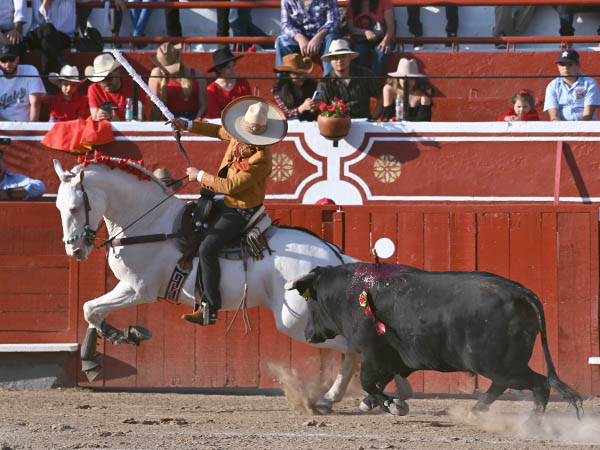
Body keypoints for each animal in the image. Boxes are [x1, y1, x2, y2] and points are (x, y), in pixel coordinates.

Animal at [54, 157, 364, 412]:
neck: (151, 223)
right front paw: (101, 351)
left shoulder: (138, 289)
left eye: (74, 207)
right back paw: (331, 399)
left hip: (295, 322)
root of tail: (333, 257)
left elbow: (90, 308)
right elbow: (92, 310)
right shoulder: (126, 287)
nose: (75, 251)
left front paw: (122, 338)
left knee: (353, 346)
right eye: (57, 207)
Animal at [284, 262, 580, 416]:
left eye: (309, 301)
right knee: (502, 386)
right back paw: (475, 410)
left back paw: (531, 422)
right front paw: (384, 402)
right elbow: (377, 384)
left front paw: (392, 405)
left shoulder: (372, 354)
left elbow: (368, 382)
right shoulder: (392, 360)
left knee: (538, 384)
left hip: (499, 364)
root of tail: (521, 292)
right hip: (502, 364)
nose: (308, 334)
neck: (351, 292)